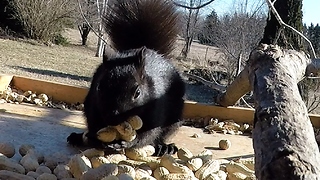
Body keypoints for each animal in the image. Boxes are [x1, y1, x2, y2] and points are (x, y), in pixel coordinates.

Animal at [67, 0, 185, 156]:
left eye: (138, 93)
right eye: (99, 87)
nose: (112, 118)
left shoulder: (157, 108)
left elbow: (149, 133)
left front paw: (128, 143)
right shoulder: (93, 104)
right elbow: (93, 122)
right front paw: (97, 139)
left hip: (175, 116)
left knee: (163, 135)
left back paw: (164, 147)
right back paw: (78, 137)